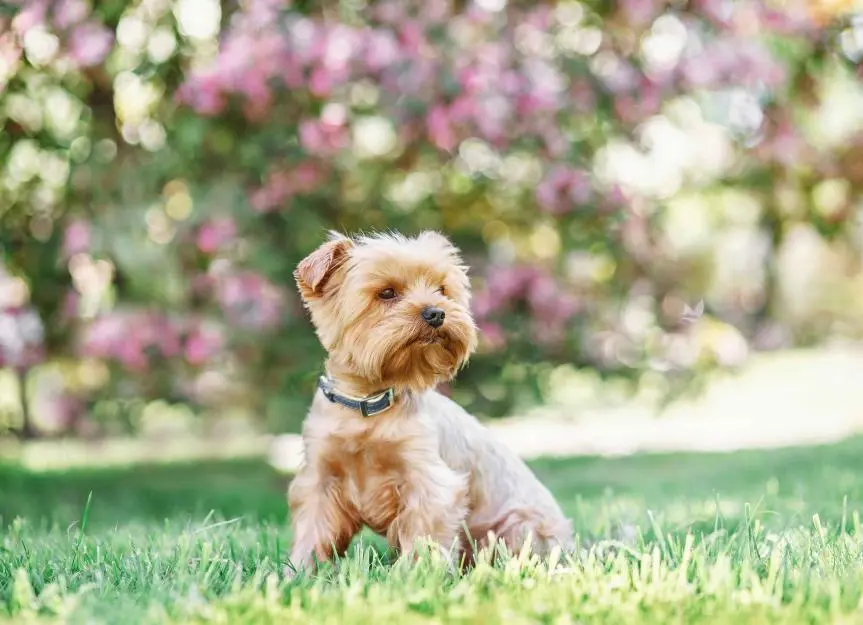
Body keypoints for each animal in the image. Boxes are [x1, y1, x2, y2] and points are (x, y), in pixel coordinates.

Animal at [286, 230, 576, 576]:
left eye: (442, 290)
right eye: (387, 293)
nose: (436, 312)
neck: (369, 402)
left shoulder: (428, 482)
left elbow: (424, 535)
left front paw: (416, 575)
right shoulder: (320, 480)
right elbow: (313, 531)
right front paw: (299, 572)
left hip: (519, 525)